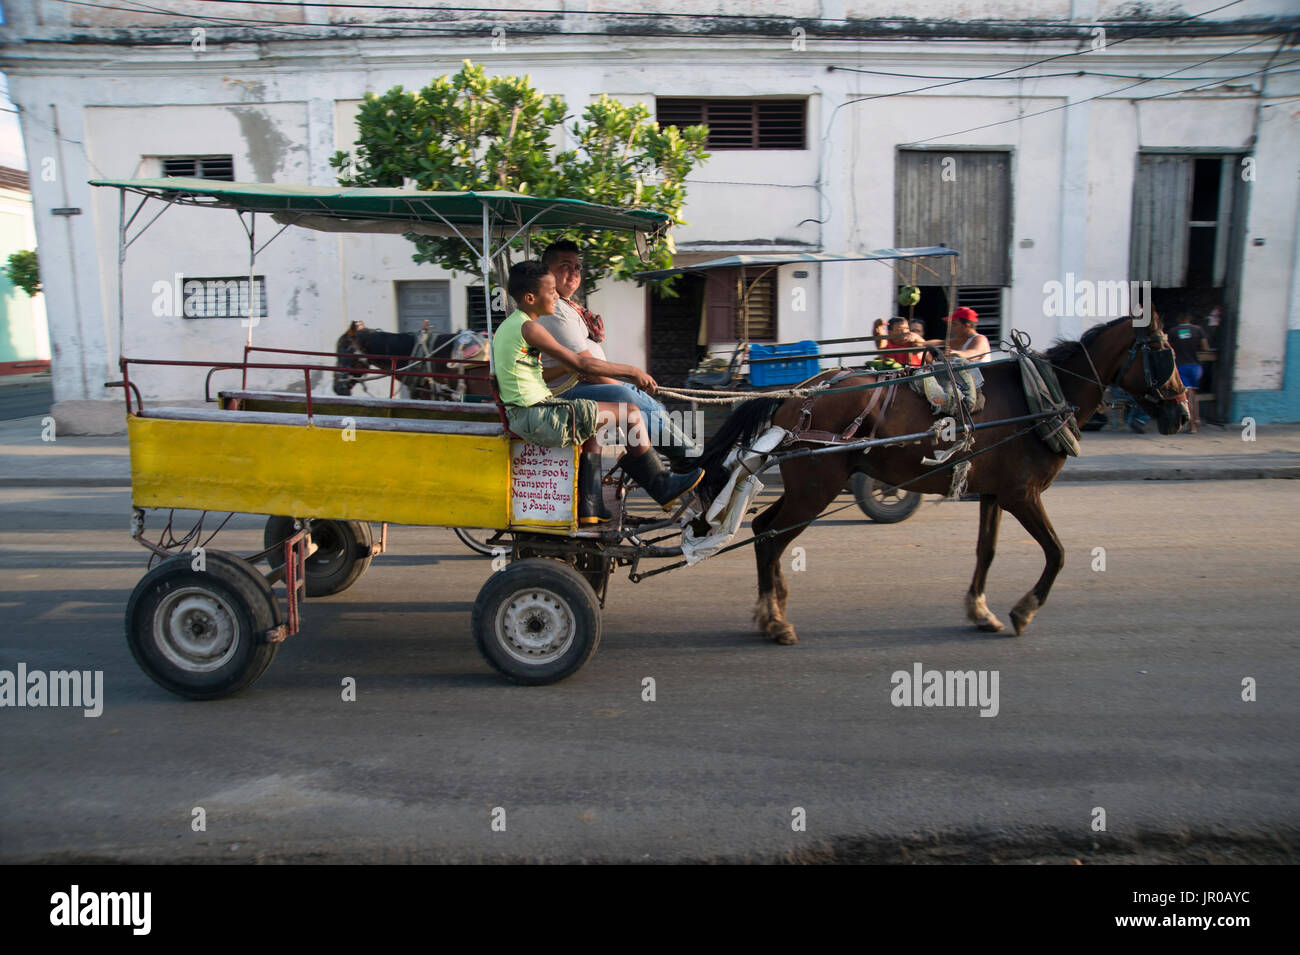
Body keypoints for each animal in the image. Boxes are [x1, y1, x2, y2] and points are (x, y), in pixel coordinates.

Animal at [696, 317, 1190, 647]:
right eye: (1164, 350)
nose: (1182, 413)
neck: (1039, 399)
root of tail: (797, 395)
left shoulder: (994, 493)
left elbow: (986, 551)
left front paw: (981, 611)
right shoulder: (1022, 494)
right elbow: (1057, 552)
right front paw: (1023, 610)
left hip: (808, 488)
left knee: (765, 531)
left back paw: (775, 608)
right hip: (815, 488)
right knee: (770, 539)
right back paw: (774, 620)